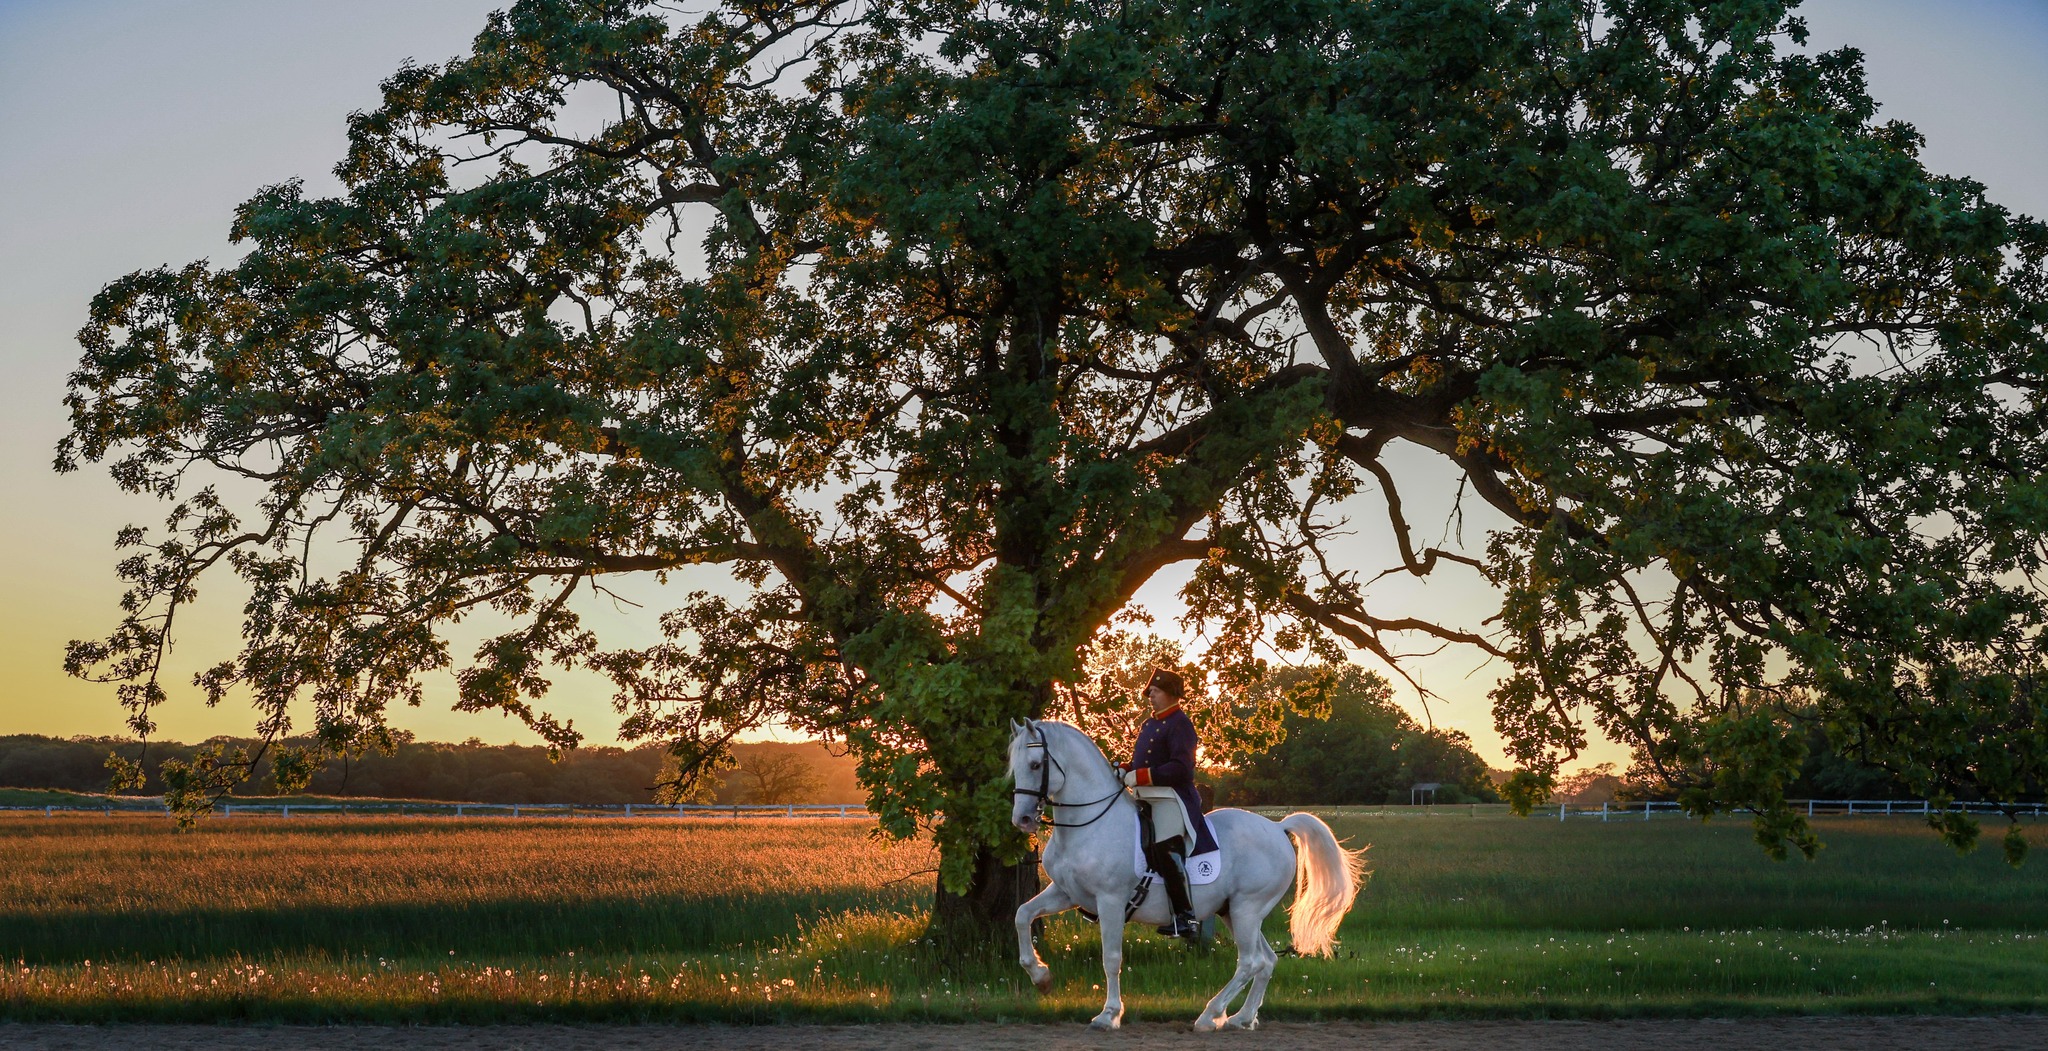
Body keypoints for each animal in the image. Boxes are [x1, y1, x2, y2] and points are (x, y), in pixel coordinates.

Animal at [1003, 717, 1359, 1028]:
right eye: (1014, 766)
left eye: (1035, 765)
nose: (1022, 820)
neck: (1089, 824)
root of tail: (1277, 827)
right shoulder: (1066, 893)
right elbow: (1022, 915)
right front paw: (1041, 977)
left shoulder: (1110, 900)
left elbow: (1112, 958)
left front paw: (1109, 1015)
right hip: (1235, 911)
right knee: (1267, 960)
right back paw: (1240, 1019)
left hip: (1247, 908)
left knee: (1251, 962)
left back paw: (1210, 1016)